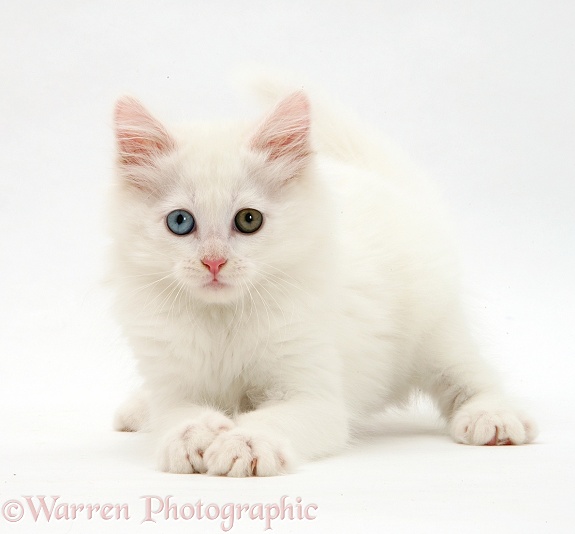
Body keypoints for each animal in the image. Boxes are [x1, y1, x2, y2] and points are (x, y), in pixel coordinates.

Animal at [110, 78, 536, 478]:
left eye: (249, 219)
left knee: (472, 377)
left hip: (437, 336)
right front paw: (193, 435)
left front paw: (245, 442)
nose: (214, 263)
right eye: (180, 222)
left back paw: (492, 417)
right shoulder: (174, 386)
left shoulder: (313, 394)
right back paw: (136, 410)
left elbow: (272, 419)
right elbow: (177, 414)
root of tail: (393, 188)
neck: (223, 319)